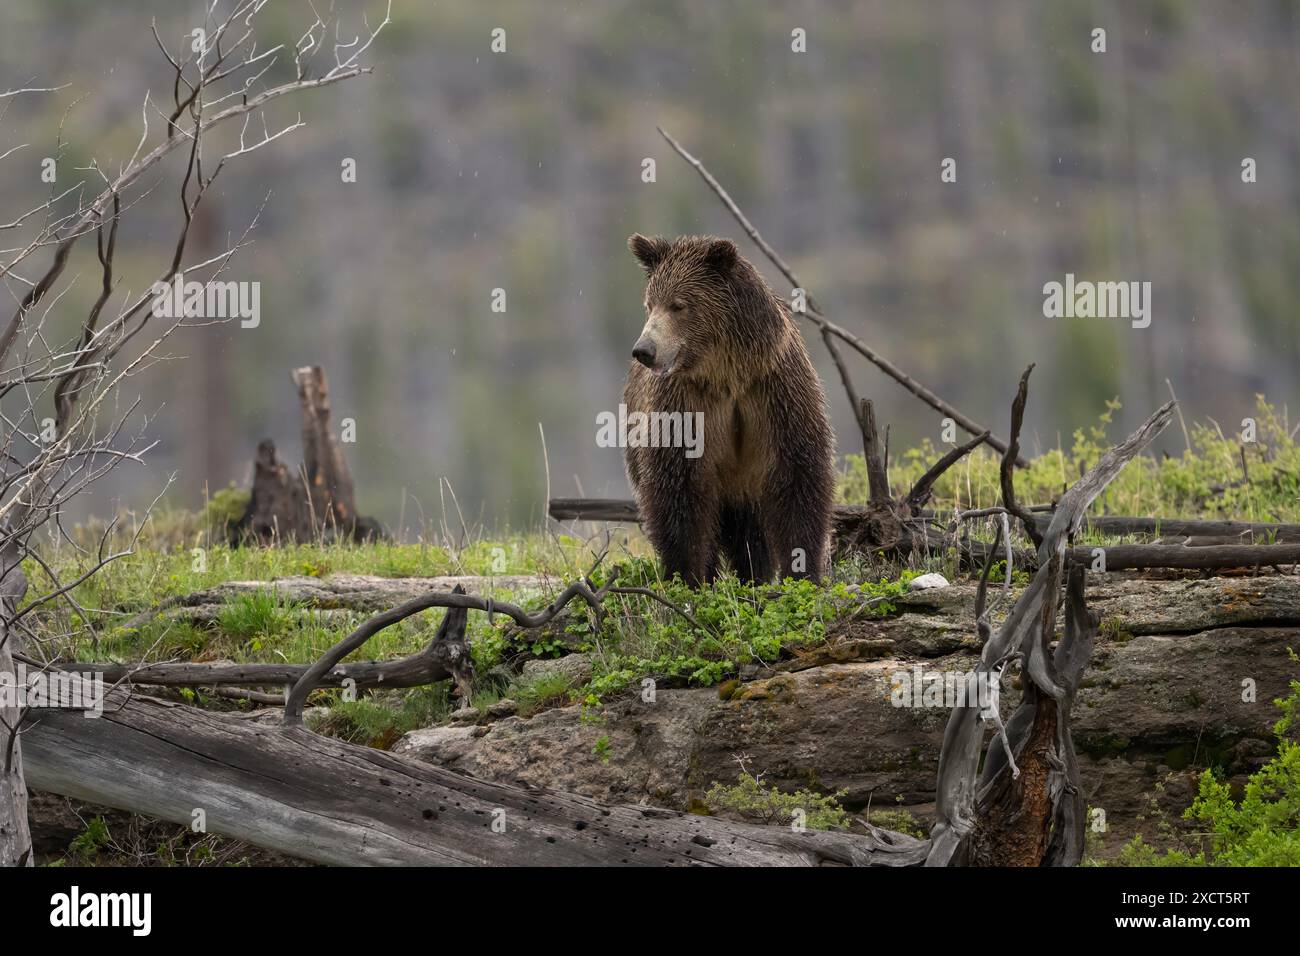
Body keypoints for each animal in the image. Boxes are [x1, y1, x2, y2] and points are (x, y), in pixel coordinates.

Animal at [622, 233, 835, 587]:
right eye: (650, 304)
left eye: (678, 305)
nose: (644, 350)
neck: (727, 374)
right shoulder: (686, 407)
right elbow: (679, 487)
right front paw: (688, 574)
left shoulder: (775, 392)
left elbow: (798, 475)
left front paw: (803, 570)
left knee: (751, 533)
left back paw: (755, 575)